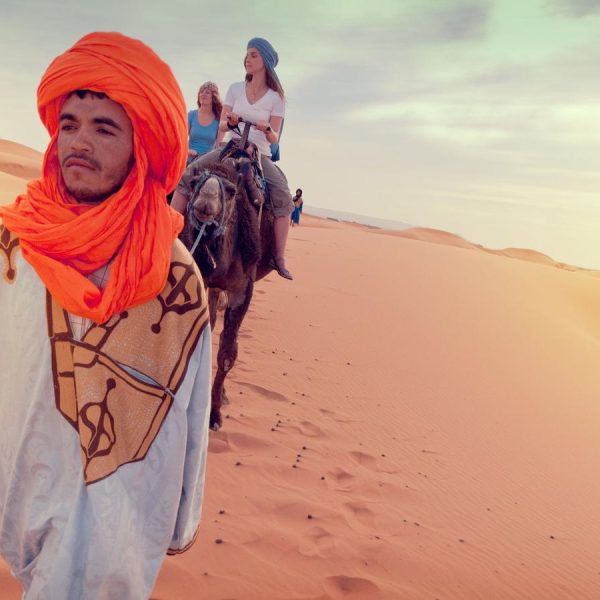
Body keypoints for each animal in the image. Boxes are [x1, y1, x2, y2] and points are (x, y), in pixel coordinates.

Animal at [180, 161, 276, 432]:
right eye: (194, 183)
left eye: (232, 191)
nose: (205, 202)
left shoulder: (243, 289)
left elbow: (227, 354)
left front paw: (214, 414)